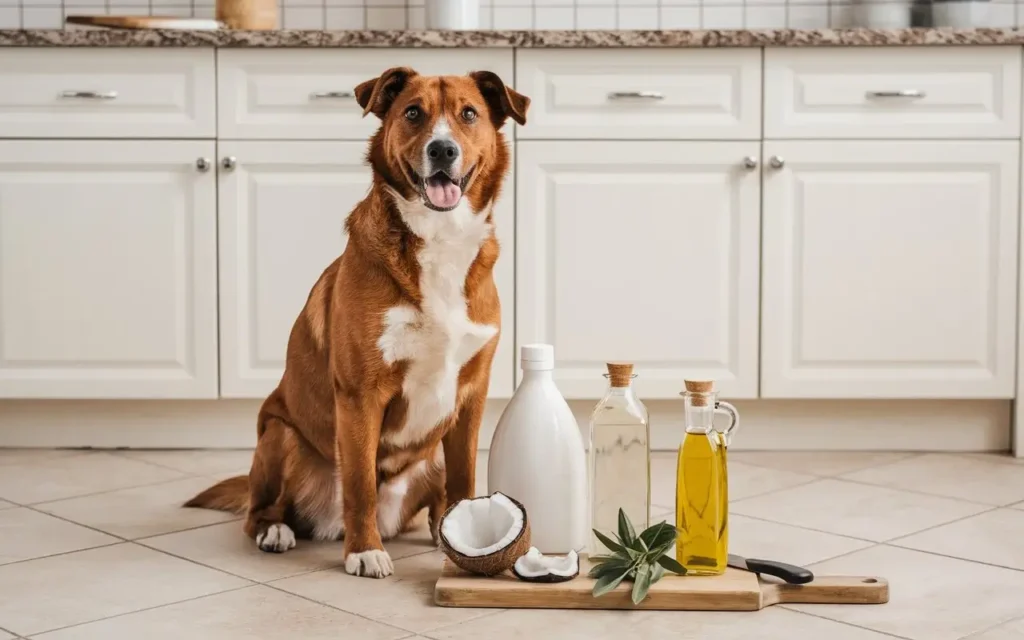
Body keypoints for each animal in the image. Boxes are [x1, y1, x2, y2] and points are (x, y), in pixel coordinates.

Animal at [185, 67, 532, 577]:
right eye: (413, 113)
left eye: (469, 114)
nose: (443, 150)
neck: (439, 241)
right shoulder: (360, 394)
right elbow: (360, 483)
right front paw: (364, 551)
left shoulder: (472, 396)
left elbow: (465, 481)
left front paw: (466, 541)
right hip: (280, 436)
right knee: (260, 510)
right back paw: (277, 531)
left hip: (431, 454)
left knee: (437, 497)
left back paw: (434, 531)